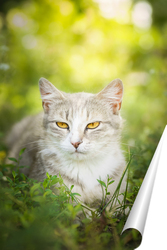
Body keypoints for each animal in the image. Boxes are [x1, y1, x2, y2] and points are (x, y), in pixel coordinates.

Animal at [5, 77, 126, 210]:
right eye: (61, 124)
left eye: (93, 125)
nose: (75, 142)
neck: (85, 167)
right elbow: (72, 208)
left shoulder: (118, 185)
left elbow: (118, 205)